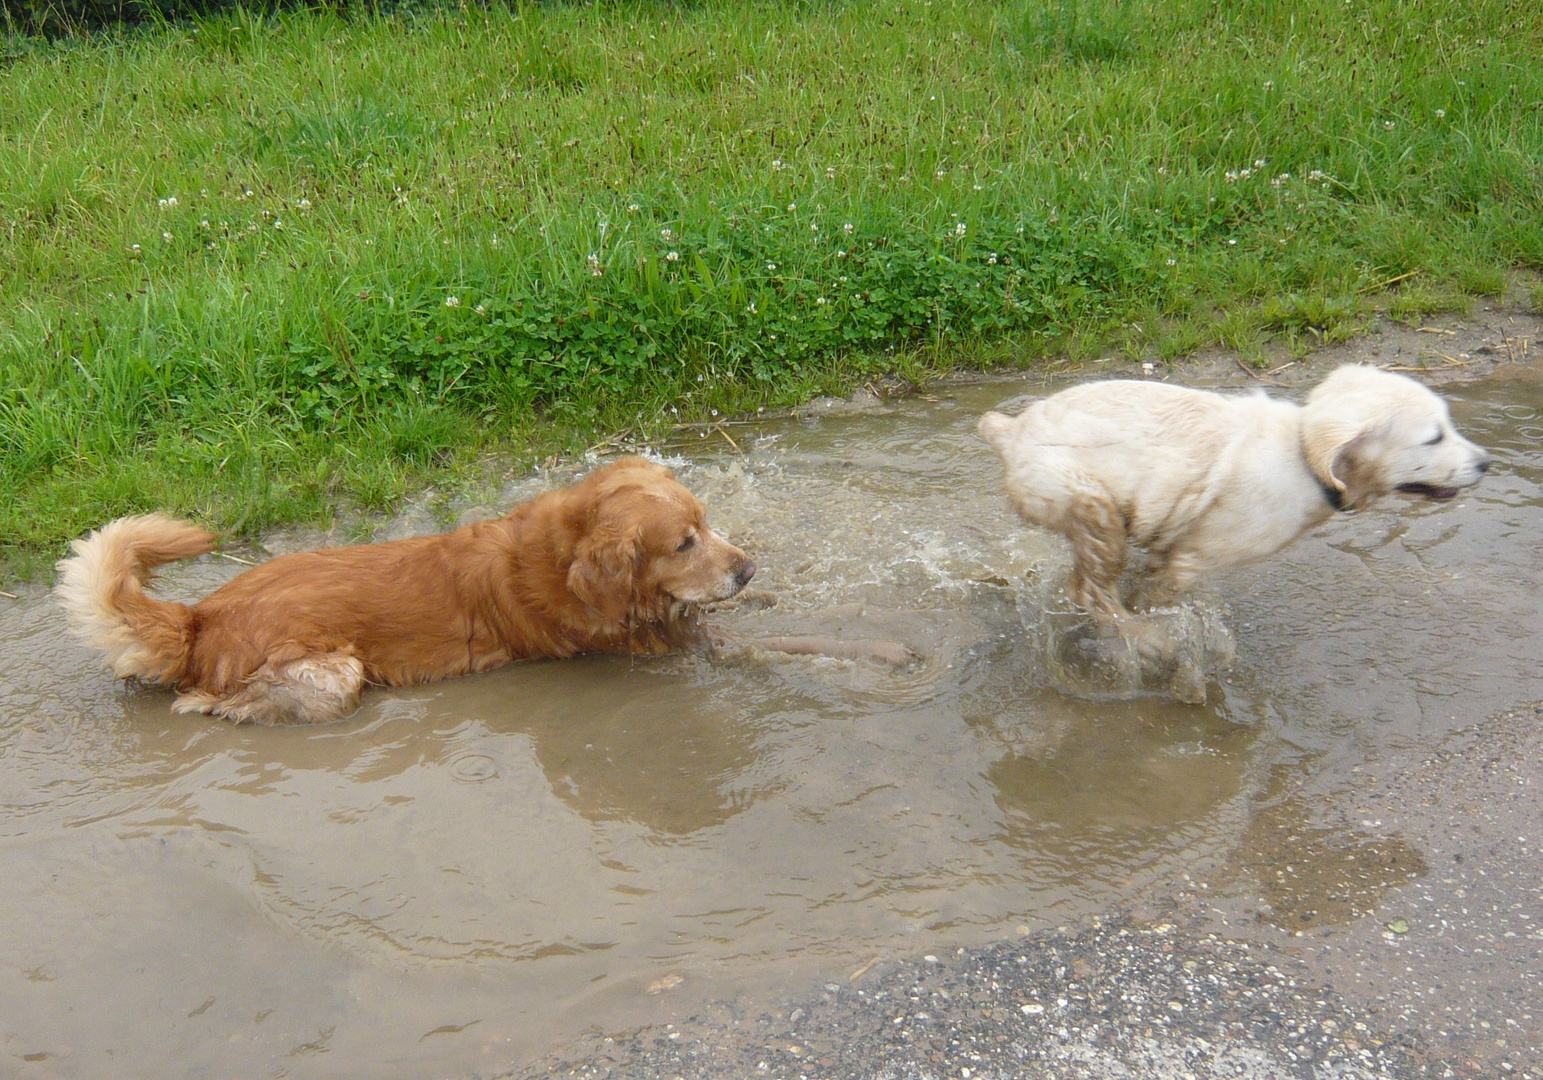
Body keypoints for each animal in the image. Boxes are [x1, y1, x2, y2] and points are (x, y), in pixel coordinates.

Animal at [57, 456, 756, 725]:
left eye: (706, 523)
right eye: (683, 544)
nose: (747, 570)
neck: (557, 554)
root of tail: (199, 616)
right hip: (335, 675)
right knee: (217, 701)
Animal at [981, 365, 1487, 620]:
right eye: (1434, 437)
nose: (1486, 463)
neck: (1304, 456)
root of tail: (1010, 432)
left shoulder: (1169, 551)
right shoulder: (1190, 560)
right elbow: (1154, 598)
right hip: (1083, 500)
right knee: (1091, 589)